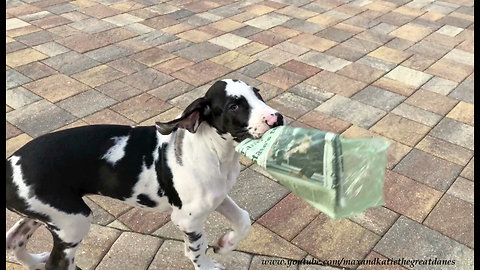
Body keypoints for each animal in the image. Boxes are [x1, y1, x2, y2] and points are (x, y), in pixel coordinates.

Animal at [5, 79, 284, 270]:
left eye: (258, 93)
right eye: (234, 105)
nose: (276, 118)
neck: (213, 151)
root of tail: (9, 165)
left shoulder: (218, 197)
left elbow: (243, 220)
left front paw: (226, 244)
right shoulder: (188, 219)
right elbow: (197, 249)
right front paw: (207, 263)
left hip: (49, 214)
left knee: (14, 239)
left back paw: (33, 260)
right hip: (74, 222)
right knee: (56, 264)